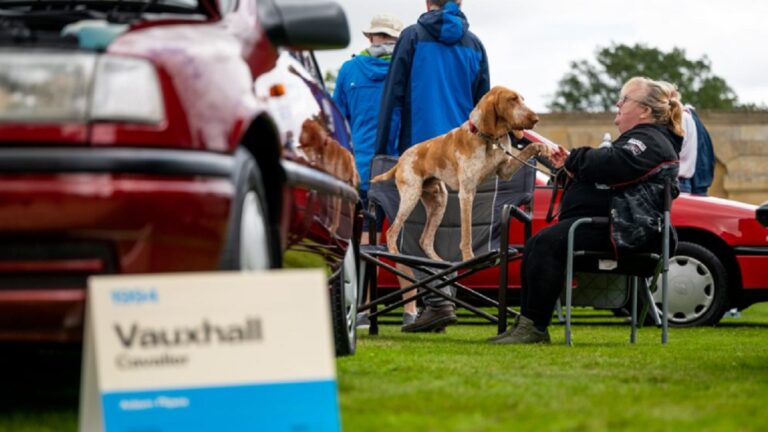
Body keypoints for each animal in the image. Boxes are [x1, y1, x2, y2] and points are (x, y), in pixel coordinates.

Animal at [372, 85, 552, 260]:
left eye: (522, 99)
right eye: (512, 99)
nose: (536, 119)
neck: (489, 140)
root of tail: (400, 161)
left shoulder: (505, 171)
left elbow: (528, 150)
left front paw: (542, 148)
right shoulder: (466, 193)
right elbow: (467, 233)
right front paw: (468, 257)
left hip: (438, 202)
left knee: (425, 240)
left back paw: (439, 262)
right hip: (411, 196)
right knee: (392, 231)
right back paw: (395, 254)